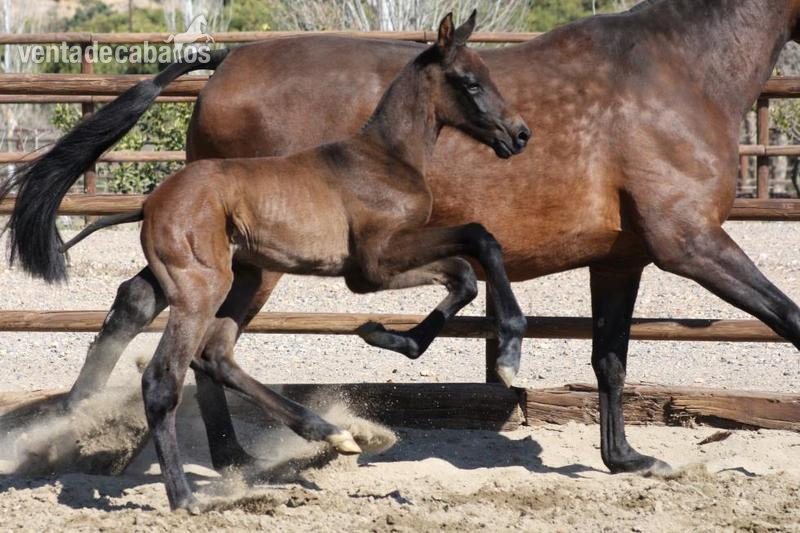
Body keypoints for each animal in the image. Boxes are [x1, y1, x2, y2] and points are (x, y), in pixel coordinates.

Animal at [4, 0, 799, 479]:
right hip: (252, 264)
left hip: (231, 259)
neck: (679, 72)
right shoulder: (690, 242)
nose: (517, 135)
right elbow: (788, 318)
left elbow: (609, 356)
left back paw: (194, 450)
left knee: (158, 314)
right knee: (187, 332)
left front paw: (625, 457)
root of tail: (225, 60)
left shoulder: (624, 256)